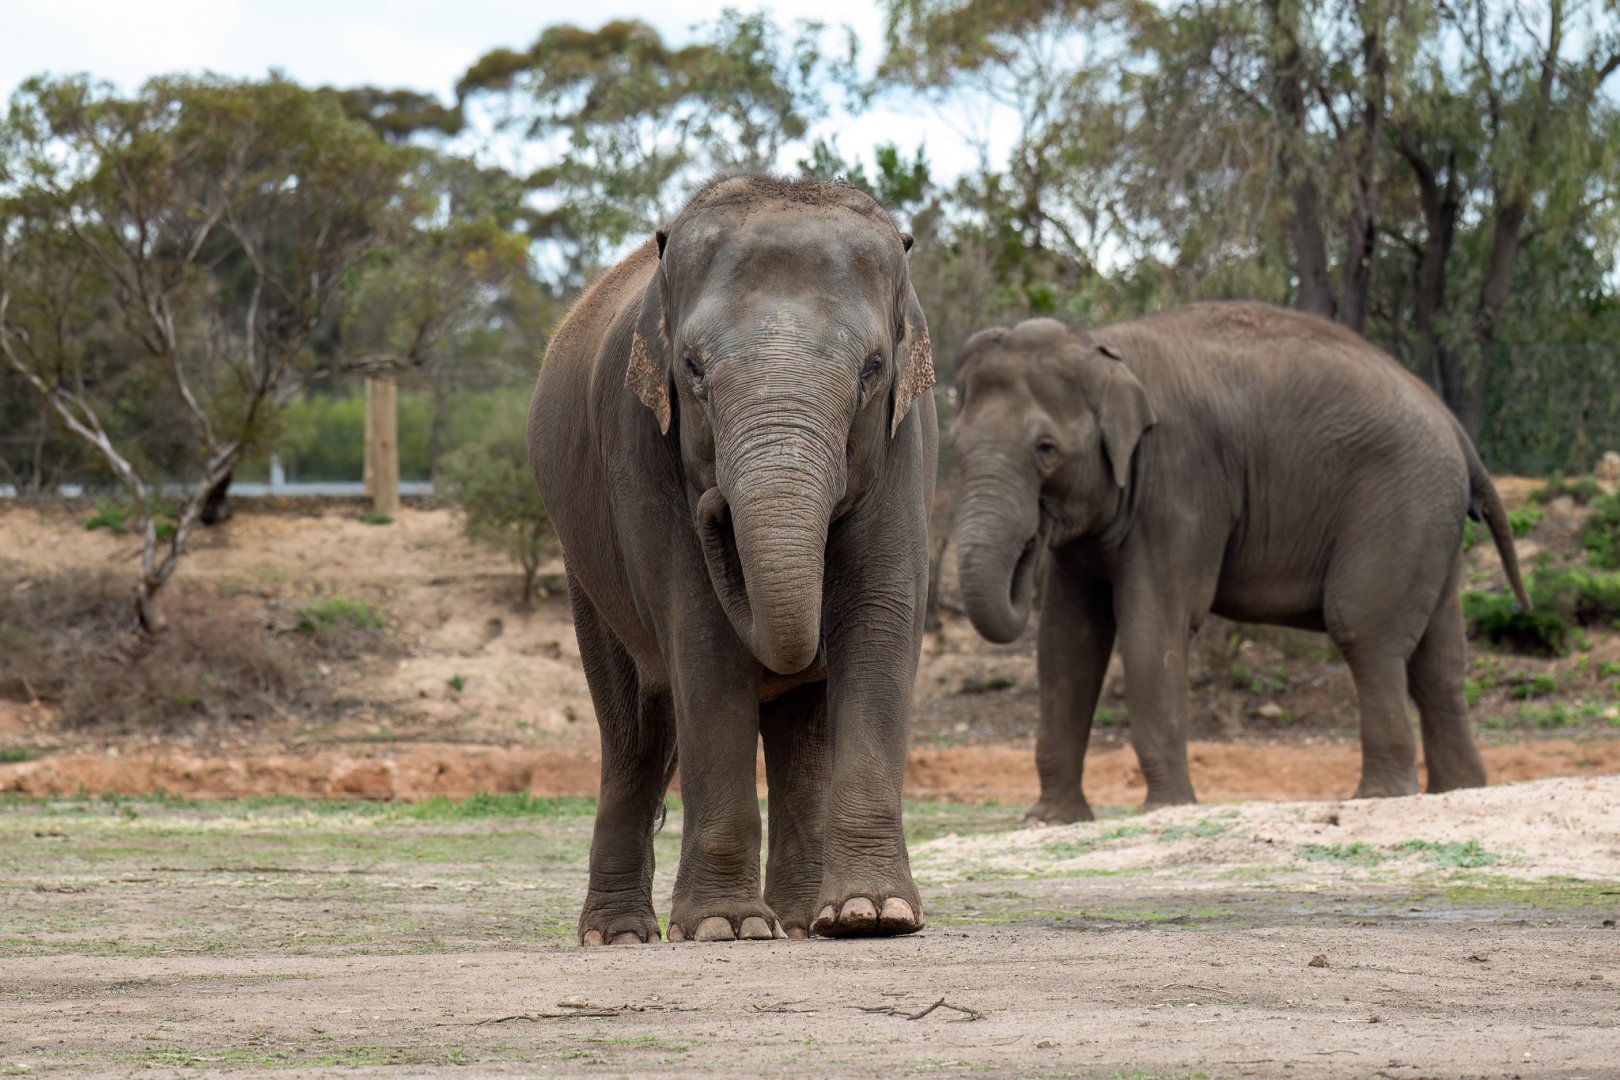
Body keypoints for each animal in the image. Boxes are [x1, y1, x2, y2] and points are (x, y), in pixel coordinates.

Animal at [529, 175, 937, 944]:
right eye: (692, 370)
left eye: (872, 371)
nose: (717, 503)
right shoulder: (641, 448)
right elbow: (704, 641)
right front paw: (725, 926)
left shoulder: (909, 444)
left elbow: (878, 620)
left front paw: (873, 916)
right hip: (583, 568)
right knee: (632, 732)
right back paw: (619, 935)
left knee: (799, 729)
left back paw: (805, 922)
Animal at [950, 303, 1529, 823]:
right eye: (954, 448)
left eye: (1046, 448)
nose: (1032, 538)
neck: (1103, 344)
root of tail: (1455, 428)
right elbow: (1066, 641)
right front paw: (1049, 820)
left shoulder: (1180, 483)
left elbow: (1151, 625)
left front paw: (1165, 808)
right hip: (1433, 523)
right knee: (1440, 660)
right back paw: (1459, 791)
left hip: (1400, 504)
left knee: (1364, 630)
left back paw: (1378, 796)